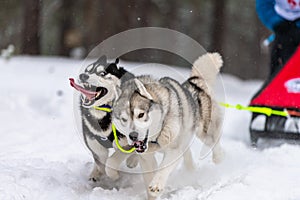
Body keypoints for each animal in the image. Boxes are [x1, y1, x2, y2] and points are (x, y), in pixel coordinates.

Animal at [112, 52, 223, 198]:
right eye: (124, 119)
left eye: (141, 115)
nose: (133, 136)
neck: (157, 137)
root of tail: (194, 82)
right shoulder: (147, 157)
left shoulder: (173, 151)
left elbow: (163, 170)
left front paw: (157, 185)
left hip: (204, 133)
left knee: (214, 143)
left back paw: (218, 159)